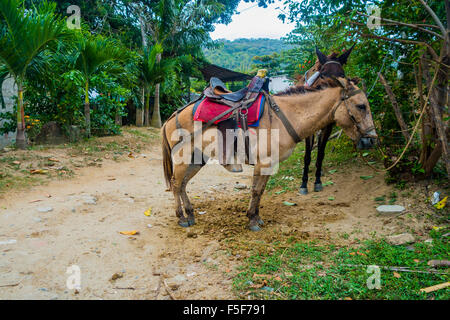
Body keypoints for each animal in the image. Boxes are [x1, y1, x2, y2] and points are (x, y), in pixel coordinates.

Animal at [162, 77, 376, 232]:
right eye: (361, 106)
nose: (372, 140)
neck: (285, 116)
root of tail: (172, 117)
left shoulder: (269, 164)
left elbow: (261, 190)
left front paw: (256, 217)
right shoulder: (263, 163)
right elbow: (256, 191)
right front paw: (252, 220)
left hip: (196, 159)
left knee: (183, 184)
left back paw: (190, 214)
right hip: (182, 159)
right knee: (175, 184)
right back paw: (181, 217)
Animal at [298, 45, 356, 195]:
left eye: (342, 75)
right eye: (322, 74)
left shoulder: (328, 127)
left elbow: (321, 153)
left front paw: (318, 181)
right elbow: (307, 155)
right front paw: (304, 183)